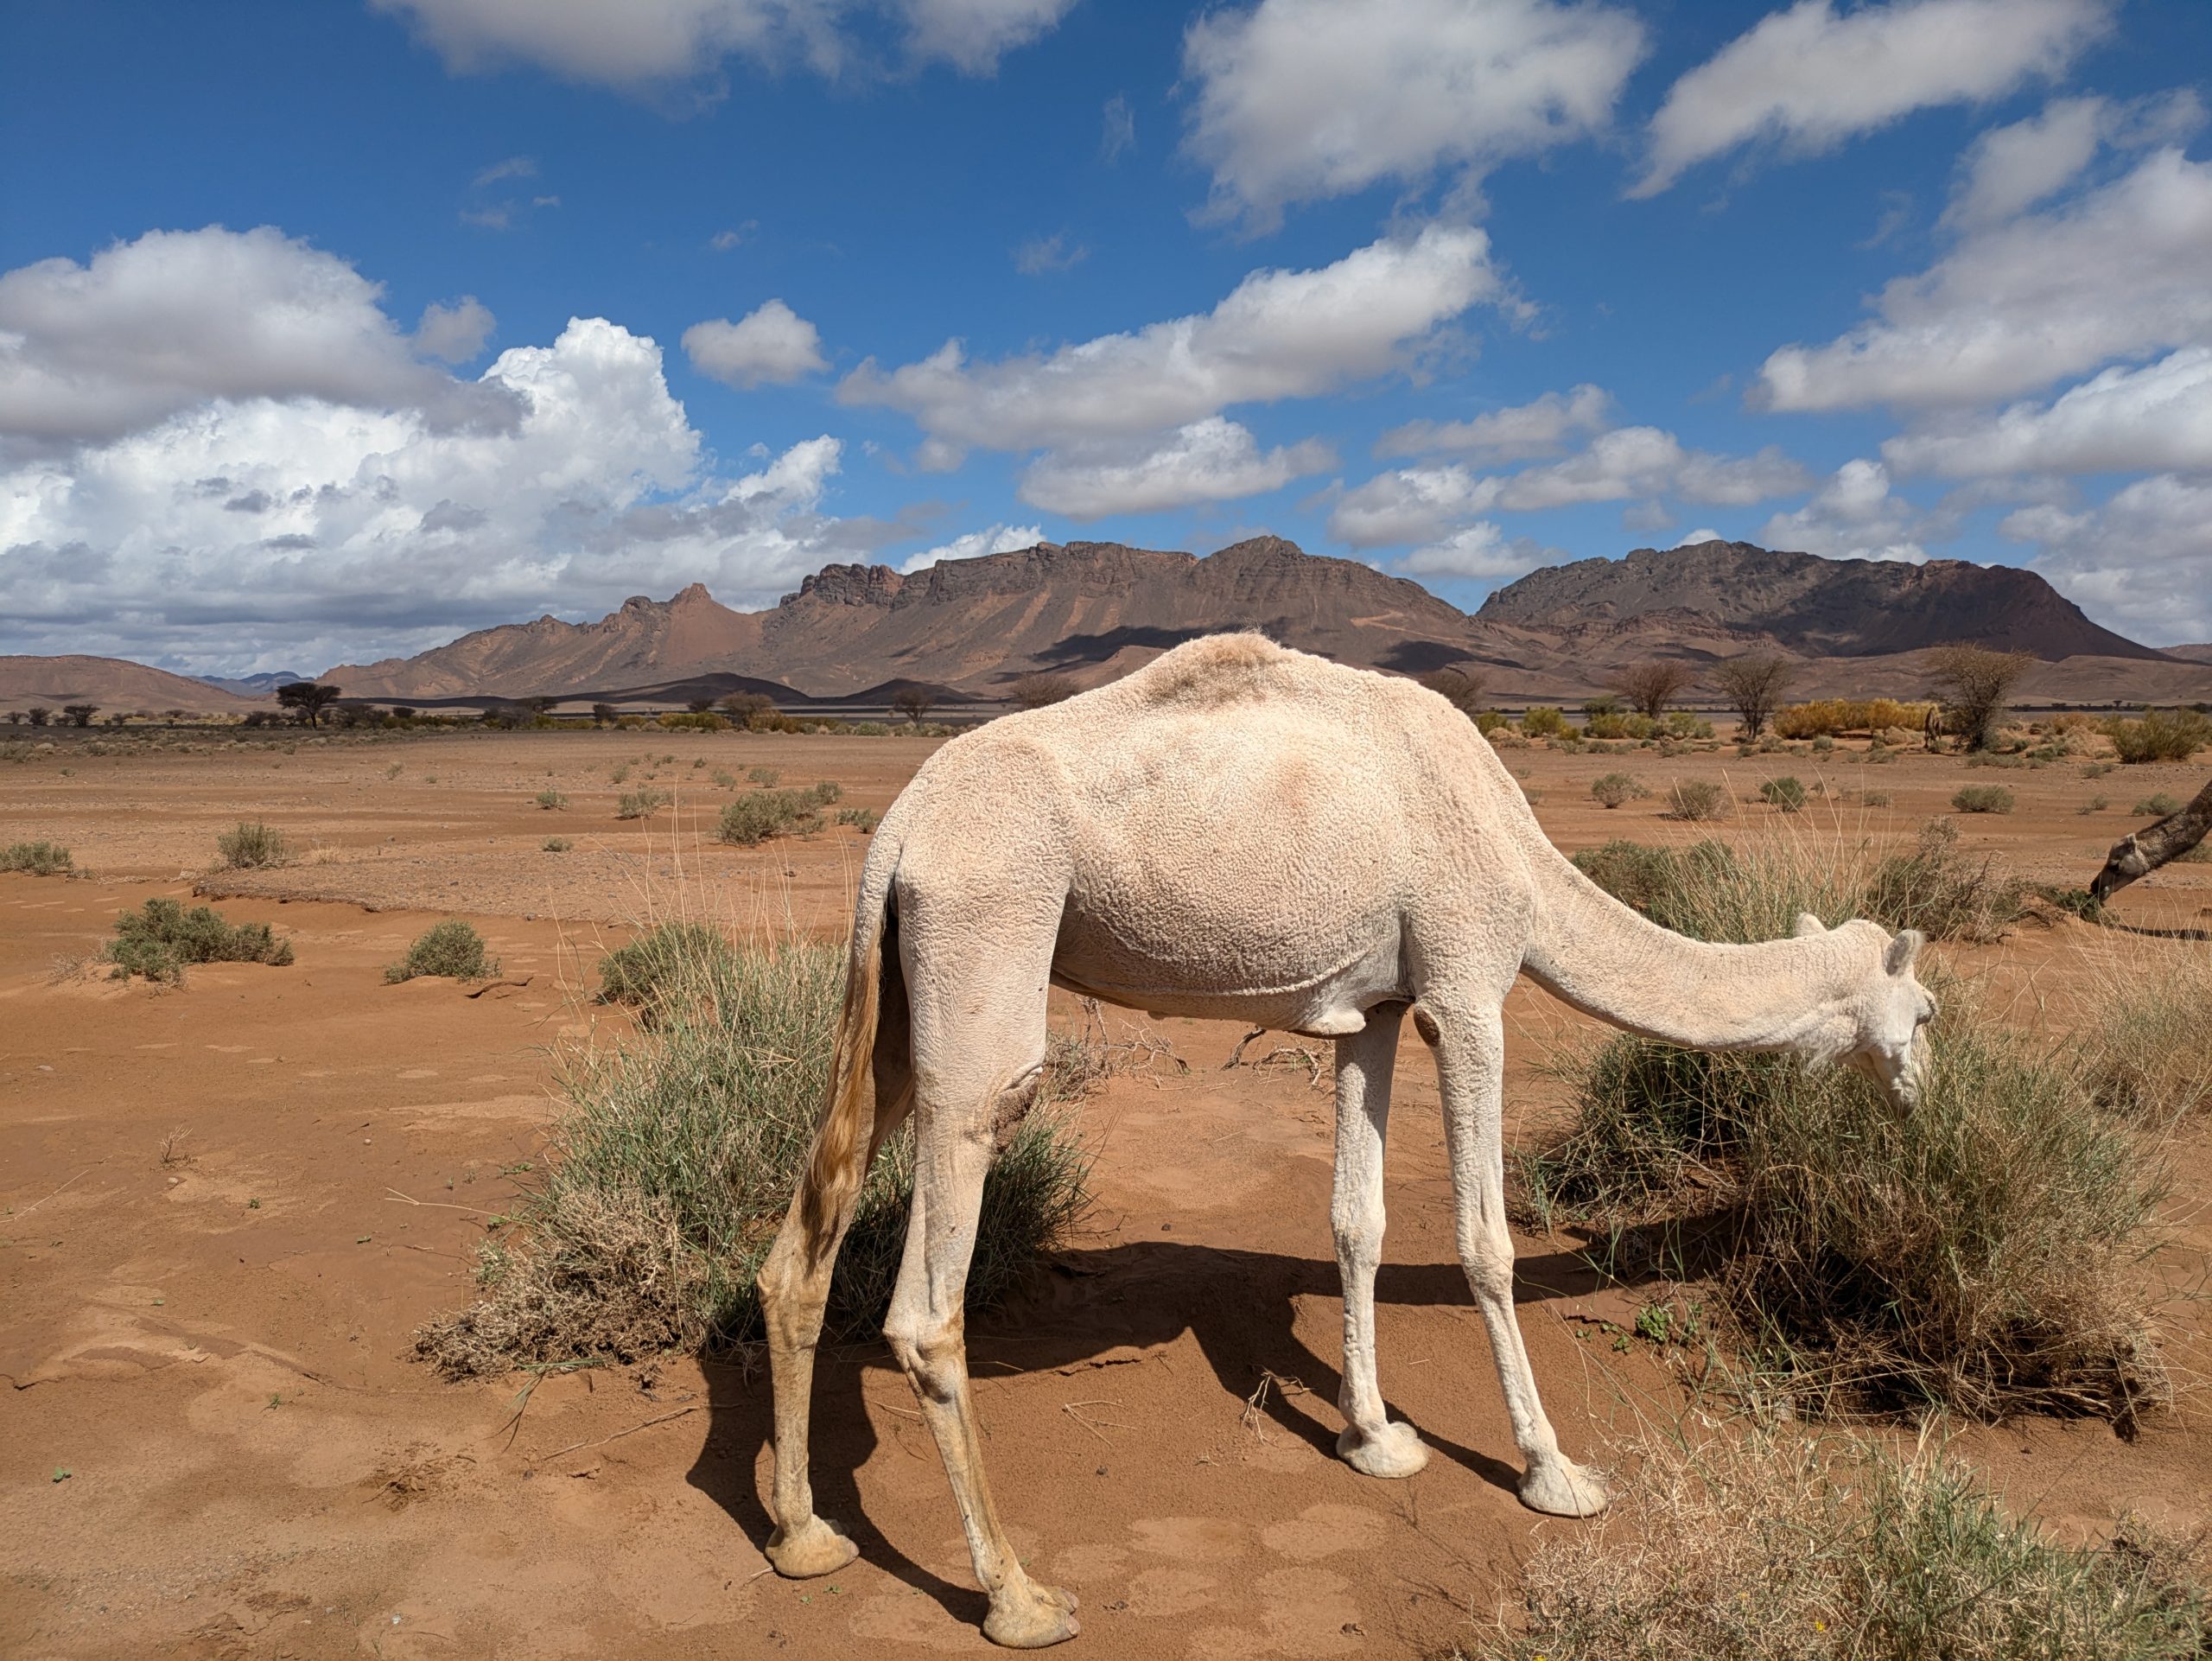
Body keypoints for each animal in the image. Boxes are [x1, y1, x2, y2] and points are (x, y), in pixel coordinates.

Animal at [760, 637, 1937, 1654]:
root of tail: (899, 824)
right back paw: (1019, 1594)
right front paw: (1553, 1469)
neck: (1516, 852)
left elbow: (1356, 1219)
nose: (1927, 1089)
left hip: (897, 981)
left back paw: (805, 1534)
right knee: (928, 1294)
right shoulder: (1466, 990)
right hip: (987, 931)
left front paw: (1373, 1437)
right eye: (1924, 1009)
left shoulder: (1374, 1005)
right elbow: (1484, 1242)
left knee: (800, 1248)